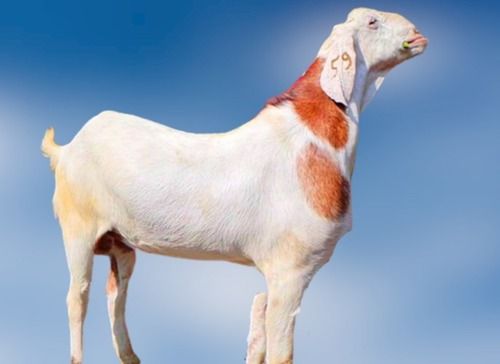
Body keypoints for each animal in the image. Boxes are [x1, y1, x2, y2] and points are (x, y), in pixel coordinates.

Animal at [41, 8, 428, 364]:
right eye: (372, 23)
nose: (417, 33)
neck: (316, 137)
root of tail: (67, 148)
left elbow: (258, 328)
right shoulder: (291, 269)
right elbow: (281, 350)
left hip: (120, 242)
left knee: (115, 294)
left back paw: (131, 356)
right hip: (78, 227)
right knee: (77, 297)